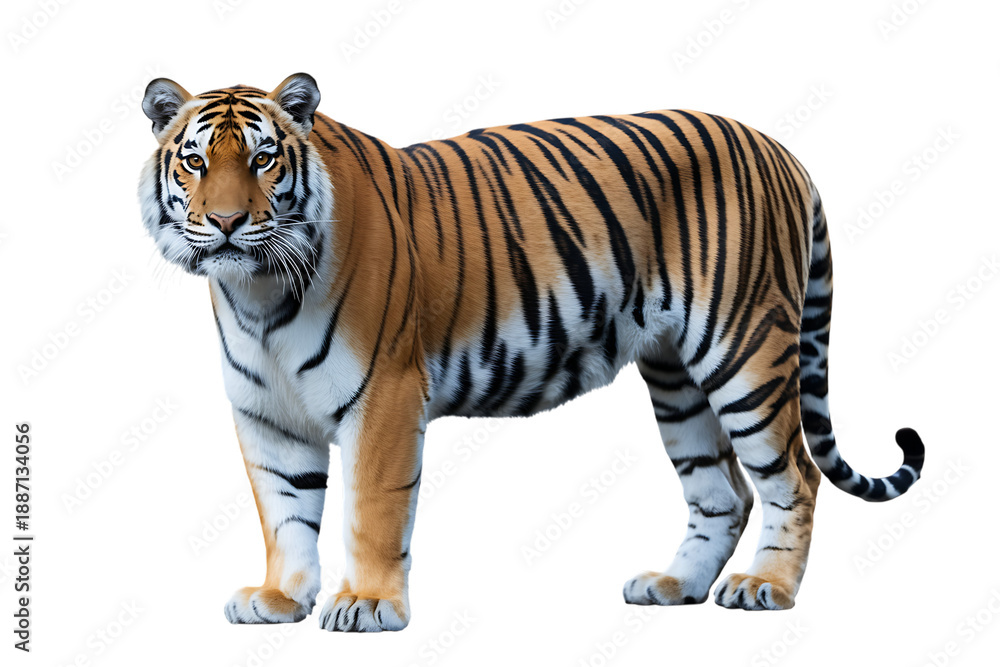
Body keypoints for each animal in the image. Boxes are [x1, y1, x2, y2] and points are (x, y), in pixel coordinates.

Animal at [138, 73, 925, 631]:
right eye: (195, 161)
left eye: (265, 160)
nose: (227, 222)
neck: (258, 293)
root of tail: (777, 146)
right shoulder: (266, 414)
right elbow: (285, 510)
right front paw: (280, 598)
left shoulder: (385, 393)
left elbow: (372, 509)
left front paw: (366, 604)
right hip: (677, 377)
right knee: (722, 489)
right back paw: (674, 586)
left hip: (744, 350)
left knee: (794, 475)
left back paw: (766, 587)